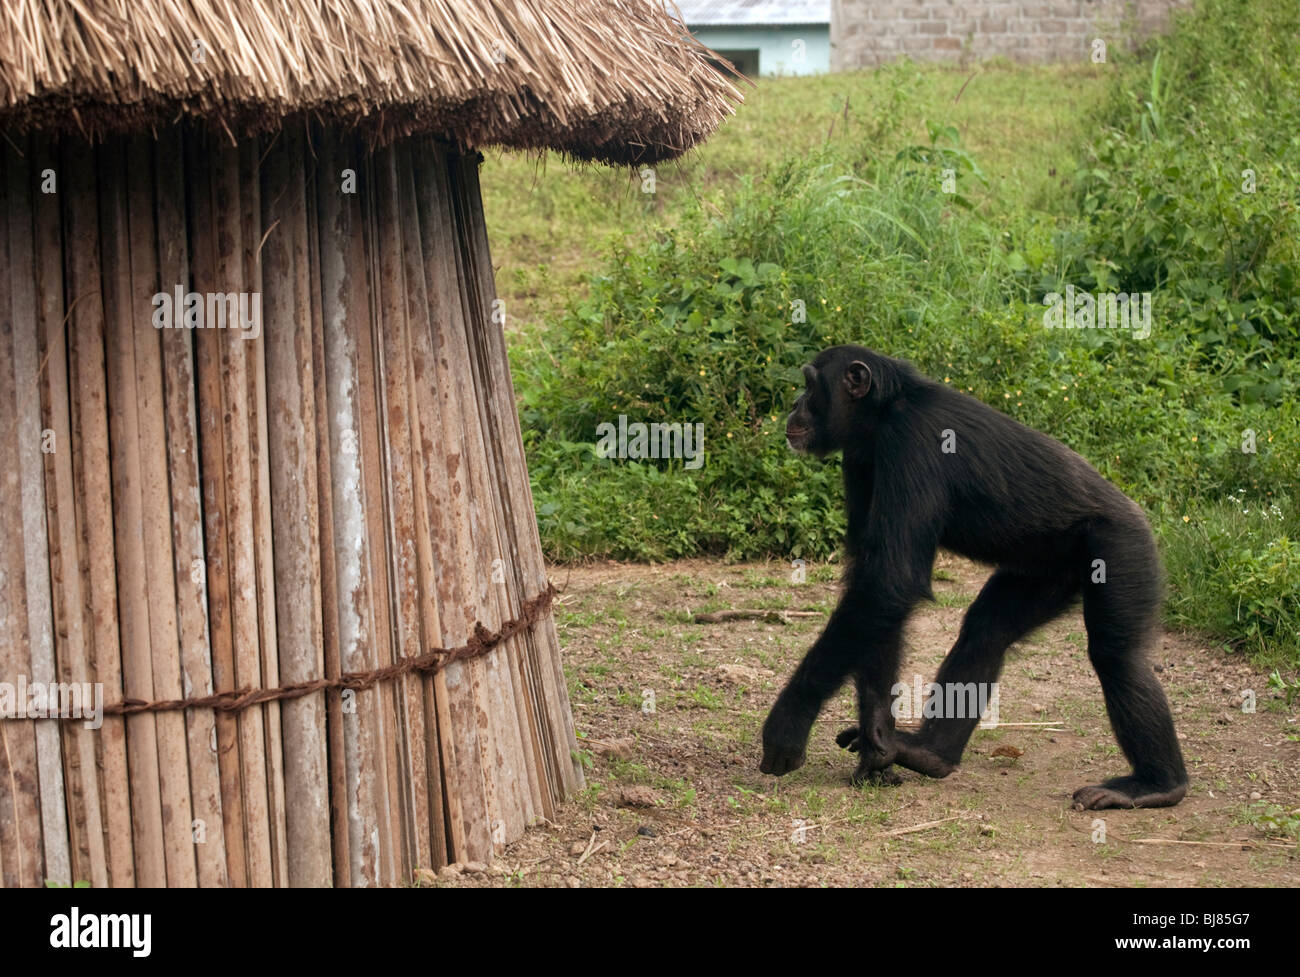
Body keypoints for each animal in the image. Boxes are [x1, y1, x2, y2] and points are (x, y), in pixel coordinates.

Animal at [759, 342, 1190, 810]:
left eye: (809, 384)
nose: (794, 404)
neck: (883, 412)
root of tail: (1140, 516)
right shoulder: (858, 461)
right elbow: (878, 588)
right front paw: (877, 738)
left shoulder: (913, 444)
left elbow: (891, 580)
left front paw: (789, 721)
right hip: (1047, 571)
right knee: (987, 632)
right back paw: (929, 753)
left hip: (1122, 547)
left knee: (1117, 656)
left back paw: (1155, 785)